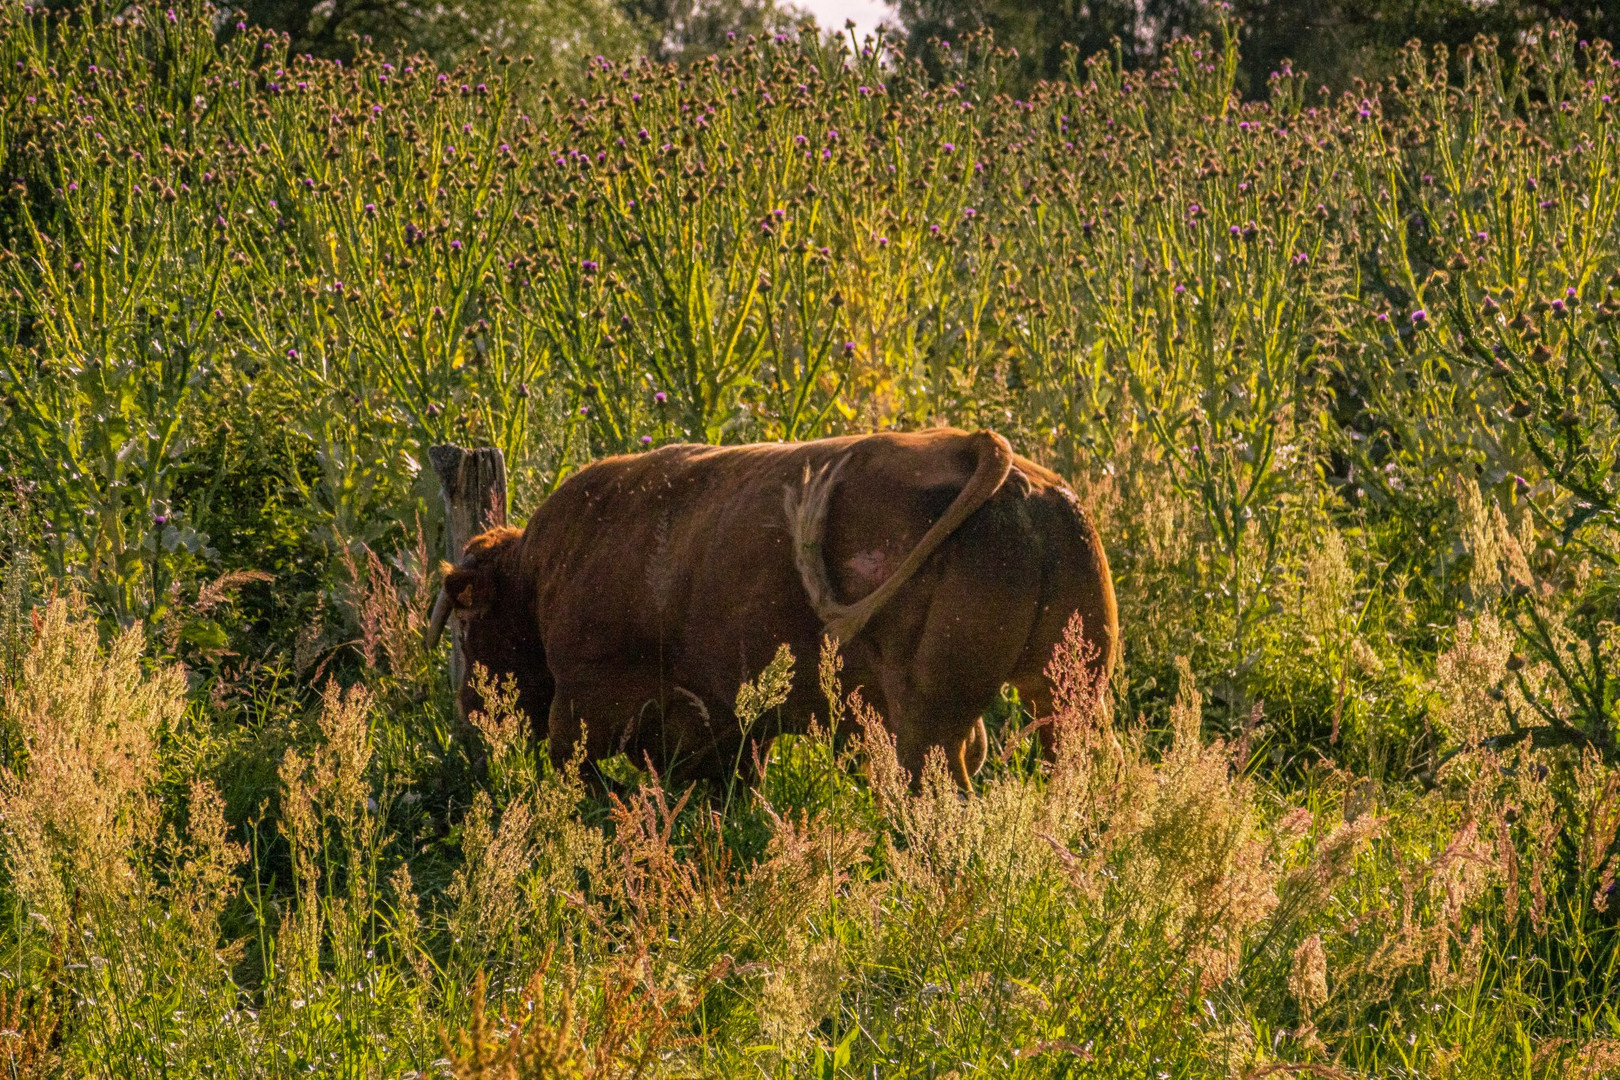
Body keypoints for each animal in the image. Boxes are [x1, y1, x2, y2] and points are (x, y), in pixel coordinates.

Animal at [424, 427, 1121, 790]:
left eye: (468, 626)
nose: (469, 709)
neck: (544, 569)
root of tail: (982, 450)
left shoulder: (588, 704)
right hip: (1068, 694)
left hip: (931, 718)